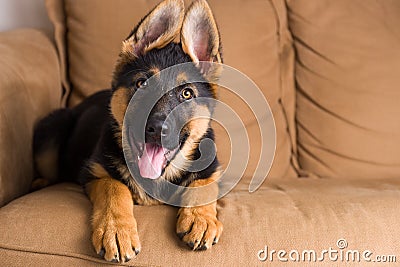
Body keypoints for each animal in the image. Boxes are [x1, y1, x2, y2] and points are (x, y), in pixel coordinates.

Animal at [32, 0, 223, 264]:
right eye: (142, 83)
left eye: (187, 94)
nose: (157, 129)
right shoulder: (95, 172)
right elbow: (115, 189)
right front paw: (116, 230)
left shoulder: (212, 168)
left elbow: (203, 184)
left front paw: (200, 220)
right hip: (53, 127)